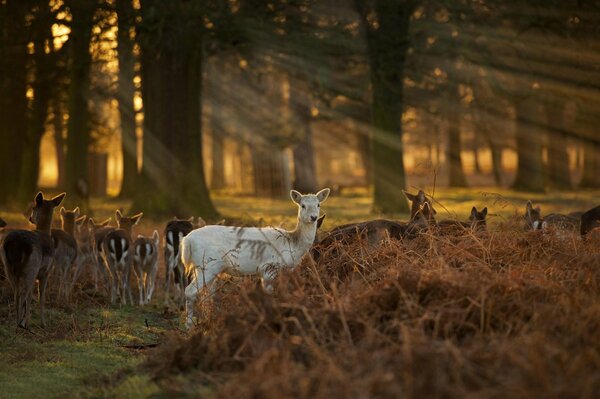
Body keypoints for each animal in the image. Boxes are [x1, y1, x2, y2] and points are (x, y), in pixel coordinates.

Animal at [0, 193, 65, 328]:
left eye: (33, 208)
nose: (30, 218)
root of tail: (15, 244)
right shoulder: (45, 272)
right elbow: (41, 296)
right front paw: (43, 323)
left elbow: (31, 297)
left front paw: (28, 321)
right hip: (31, 268)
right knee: (22, 294)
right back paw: (20, 323)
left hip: (8, 267)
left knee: (16, 293)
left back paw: (17, 322)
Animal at [183, 189, 332, 330]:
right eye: (303, 205)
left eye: (318, 204)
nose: (314, 217)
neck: (292, 245)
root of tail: (187, 241)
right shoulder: (269, 267)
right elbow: (268, 293)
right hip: (206, 264)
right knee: (190, 291)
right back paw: (189, 326)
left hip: (211, 268)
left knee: (207, 294)